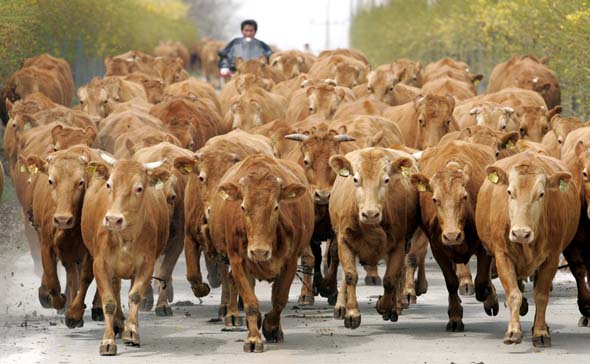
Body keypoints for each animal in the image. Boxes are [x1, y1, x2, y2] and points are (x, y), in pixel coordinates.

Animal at [80, 154, 171, 356]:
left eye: (139, 188)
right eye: (109, 184)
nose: (113, 219)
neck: (125, 238)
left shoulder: (146, 264)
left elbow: (135, 296)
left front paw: (131, 332)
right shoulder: (100, 264)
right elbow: (109, 302)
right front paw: (107, 341)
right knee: (115, 289)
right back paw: (117, 323)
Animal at [210, 155, 316, 352]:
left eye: (275, 207)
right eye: (243, 207)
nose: (259, 251)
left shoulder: (289, 263)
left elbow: (279, 299)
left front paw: (271, 327)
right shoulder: (237, 261)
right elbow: (250, 302)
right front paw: (253, 338)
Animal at [330, 146, 424, 328]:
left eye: (386, 180)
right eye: (355, 179)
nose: (370, 214)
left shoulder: (398, 244)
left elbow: (390, 279)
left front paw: (385, 306)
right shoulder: (344, 240)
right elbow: (350, 275)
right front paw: (352, 313)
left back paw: (396, 305)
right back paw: (340, 306)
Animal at [476, 151, 584, 346]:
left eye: (541, 194)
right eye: (509, 192)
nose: (520, 233)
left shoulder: (551, 258)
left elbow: (541, 296)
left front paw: (540, 332)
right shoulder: (502, 256)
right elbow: (514, 295)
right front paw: (513, 331)